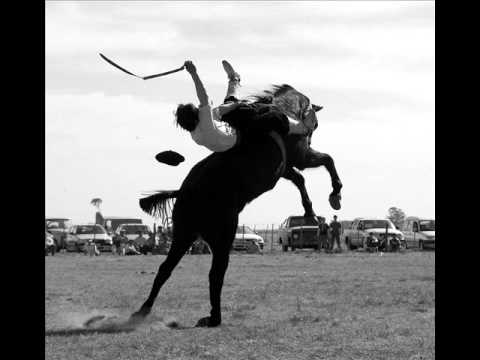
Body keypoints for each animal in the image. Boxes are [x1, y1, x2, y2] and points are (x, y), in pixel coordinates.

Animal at [129, 84, 344, 326]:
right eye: (314, 123)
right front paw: (334, 195)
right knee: (216, 273)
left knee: (166, 269)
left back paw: (145, 309)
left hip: (184, 235)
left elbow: (300, 179)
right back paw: (214, 317)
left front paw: (310, 209)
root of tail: (183, 193)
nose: (310, 131)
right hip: (222, 236)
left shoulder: (285, 167)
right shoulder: (299, 156)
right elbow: (325, 160)